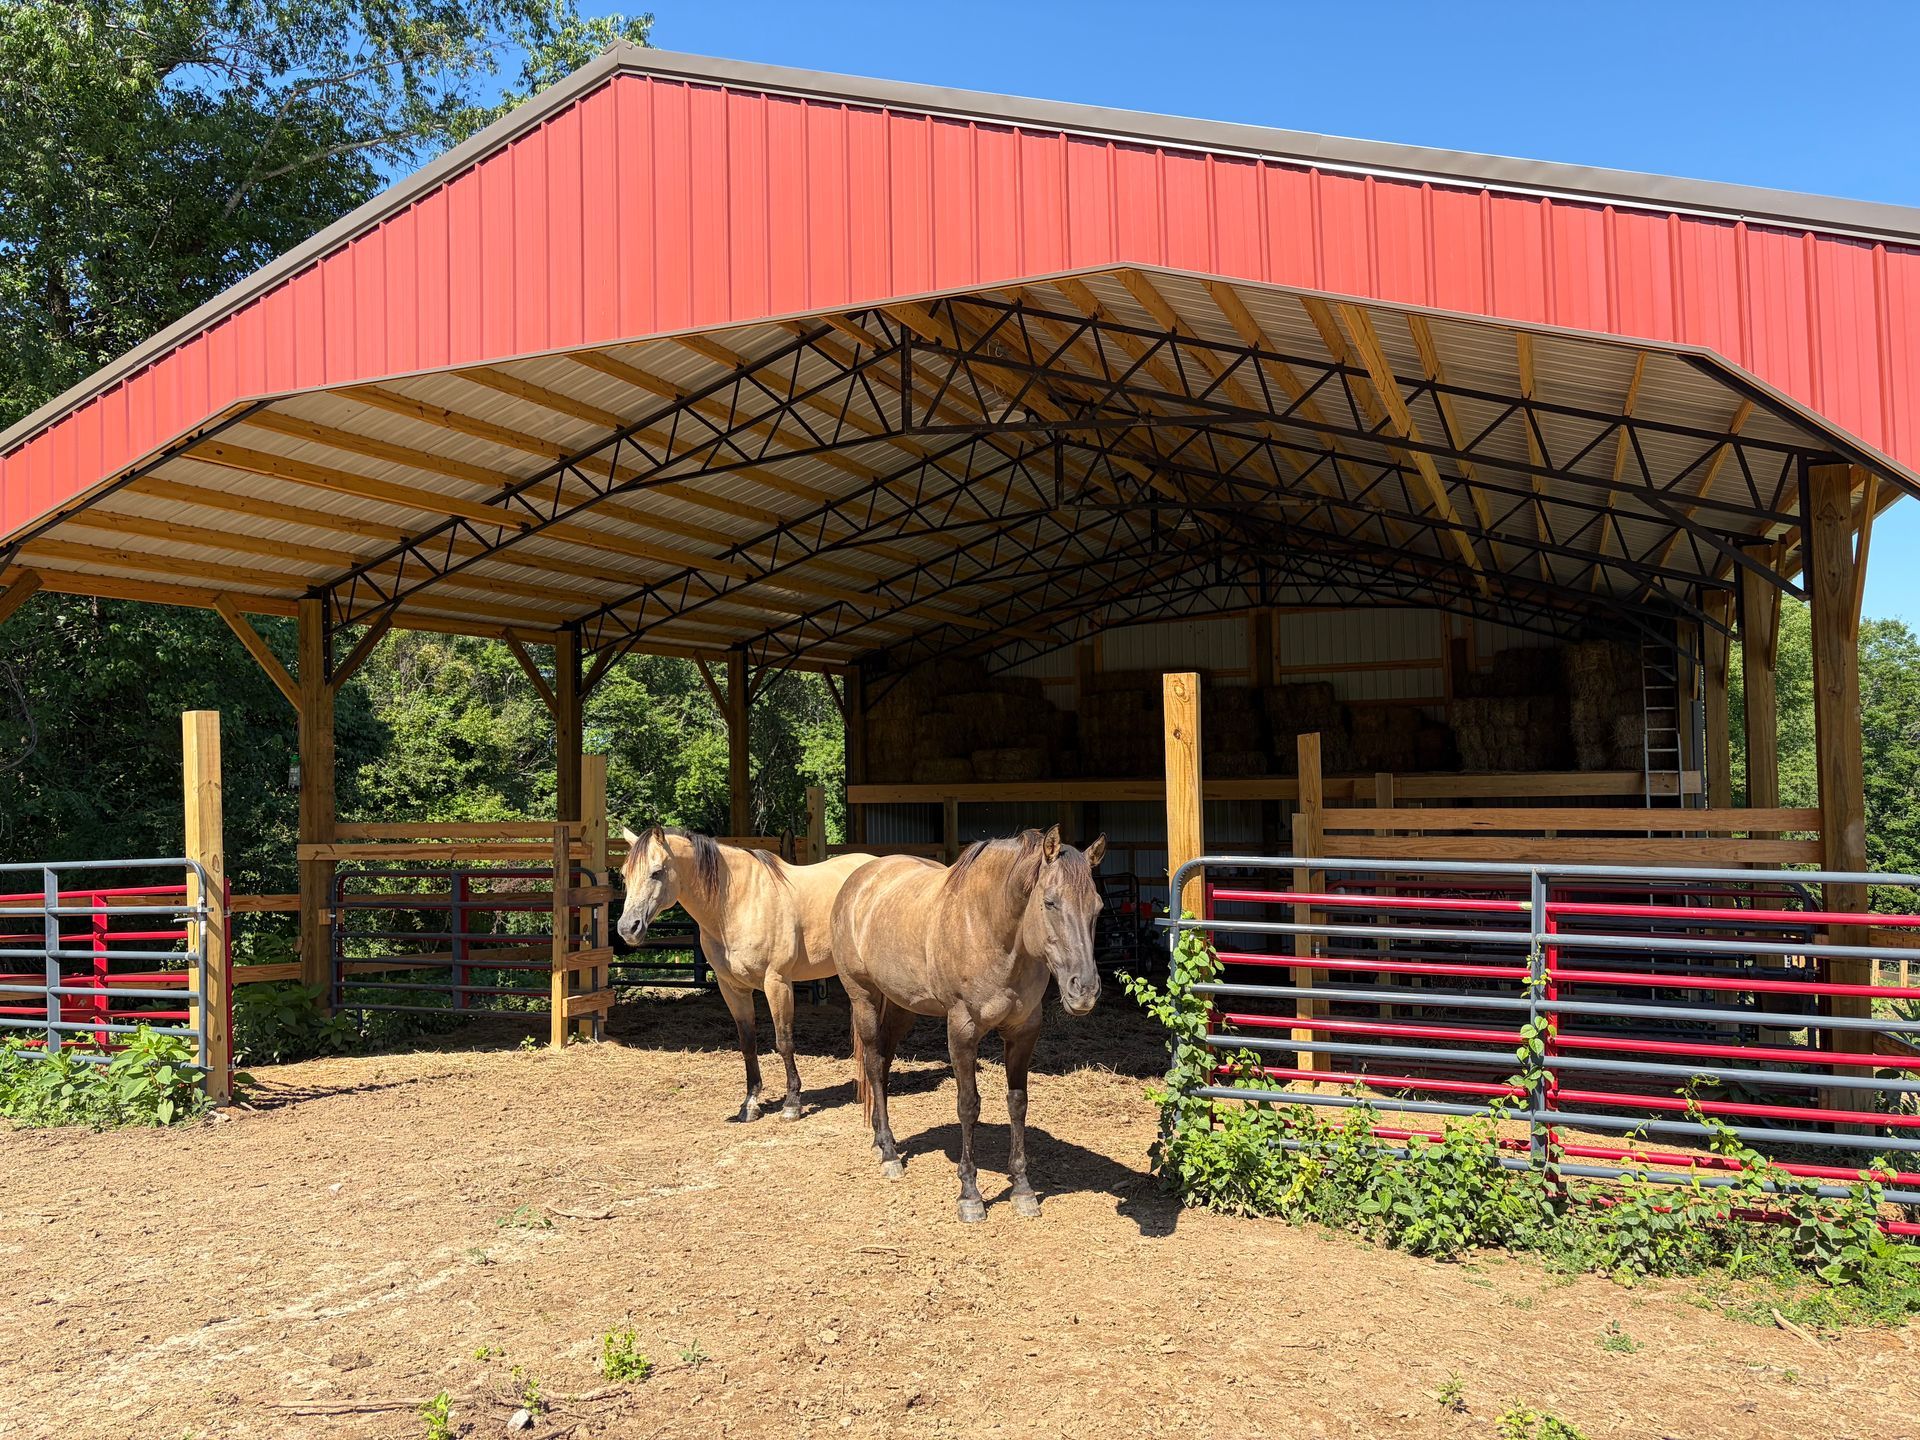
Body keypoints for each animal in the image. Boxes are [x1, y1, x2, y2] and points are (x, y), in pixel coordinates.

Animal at [616, 825, 876, 1122]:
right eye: (624, 874)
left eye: (656, 872)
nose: (627, 928)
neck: (738, 904)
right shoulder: (732, 988)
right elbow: (747, 1043)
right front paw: (750, 1104)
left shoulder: (777, 983)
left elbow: (784, 1041)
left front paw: (792, 1103)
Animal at [830, 825, 1106, 1223]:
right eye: (1051, 902)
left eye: (1098, 908)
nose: (1084, 991)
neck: (990, 930)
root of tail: (860, 878)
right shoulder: (962, 1031)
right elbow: (968, 1105)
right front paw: (970, 1194)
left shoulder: (1024, 1032)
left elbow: (1017, 1102)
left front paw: (1022, 1189)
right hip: (863, 998)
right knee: (872, 1065)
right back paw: (890, 1154)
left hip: (900, 1007)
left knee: (881, 1063)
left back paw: (884, 1142)